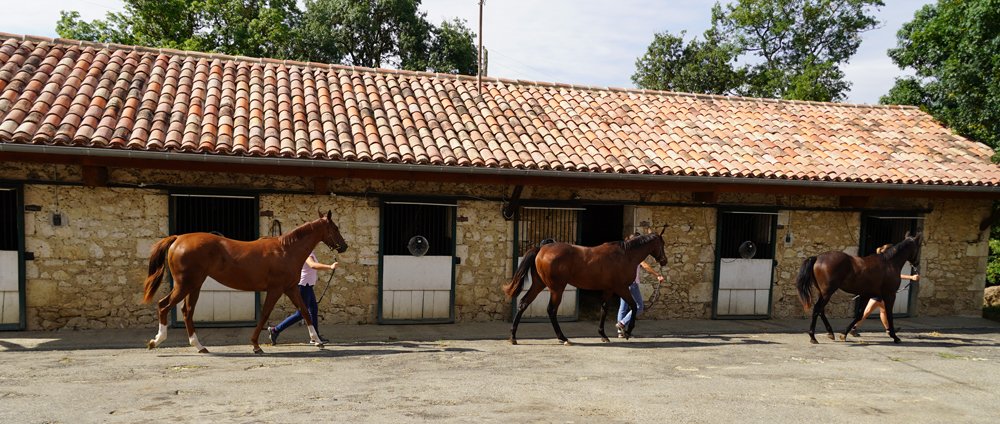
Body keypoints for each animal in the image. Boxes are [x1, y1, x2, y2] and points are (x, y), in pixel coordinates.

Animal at [142, 211, 348, 354]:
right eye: (335, 228)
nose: (344, 246)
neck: (286, 250)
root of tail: (178, 239)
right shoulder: (275, 289)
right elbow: (265, 315)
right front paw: (256, 345)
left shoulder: (291, 288)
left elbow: (305, 311)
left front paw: (318, 341)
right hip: (185, 285)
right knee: (164, 306)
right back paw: (156, 341)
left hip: (194, 286)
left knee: (187, 311)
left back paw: (199, 346)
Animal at [503, 230, 669, 345]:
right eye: (662, 244)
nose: (664, 261)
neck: (626, 255)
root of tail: (541, 249)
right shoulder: (621, 288)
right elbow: (634, 306)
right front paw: (627, 331)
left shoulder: (608, 289)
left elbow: (604, 309)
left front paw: (603, 335)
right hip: (557, 289)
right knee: (551, 310)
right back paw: (563, 338)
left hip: (539, 284)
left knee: (523, 303)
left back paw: (513, 337)